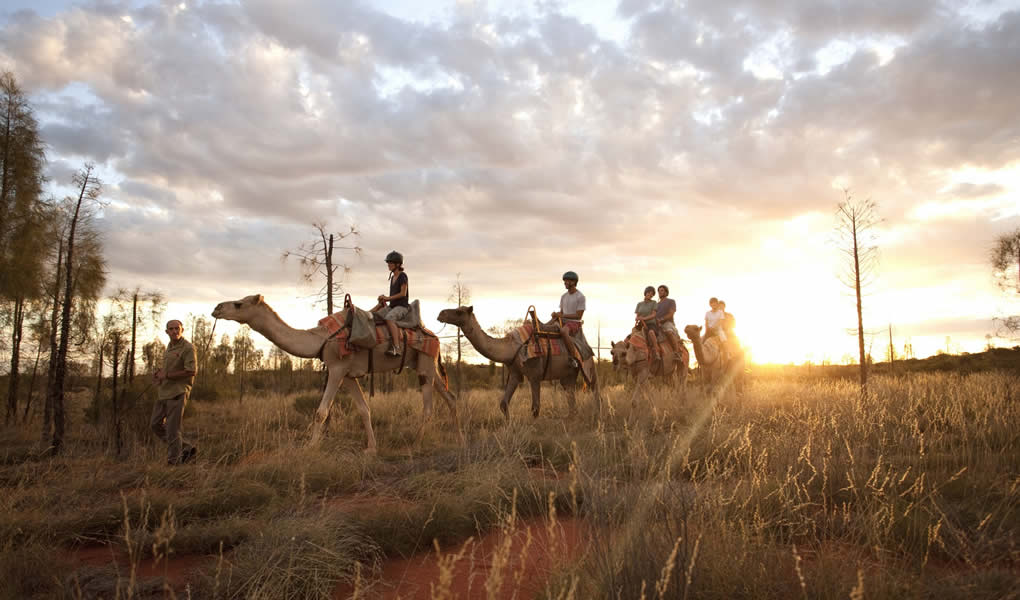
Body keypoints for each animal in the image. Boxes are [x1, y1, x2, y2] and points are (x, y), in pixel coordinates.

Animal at [211, 293, 459, 453]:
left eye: (238, 304)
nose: (216, 308)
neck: (321, 338)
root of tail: (434, 336)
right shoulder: (348, 375)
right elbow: (364, 409)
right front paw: (371, 448)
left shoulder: (337, 369)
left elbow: (321, 412)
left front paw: (309, 448)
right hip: (423, 364)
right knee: (450, 397)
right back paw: (460, 436)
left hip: (425, 363)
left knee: (429, 407)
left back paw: (417, 442)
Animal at [436, 306, 595, 420]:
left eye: (459, 312)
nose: (440, 313)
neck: (512, 347)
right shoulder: (515, 372)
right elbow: (503, 404)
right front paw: (508, 427)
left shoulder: (535, 375)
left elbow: (535, 408)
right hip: (568, 375)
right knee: (571, 398)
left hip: (586, 365)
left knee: (591, 390)